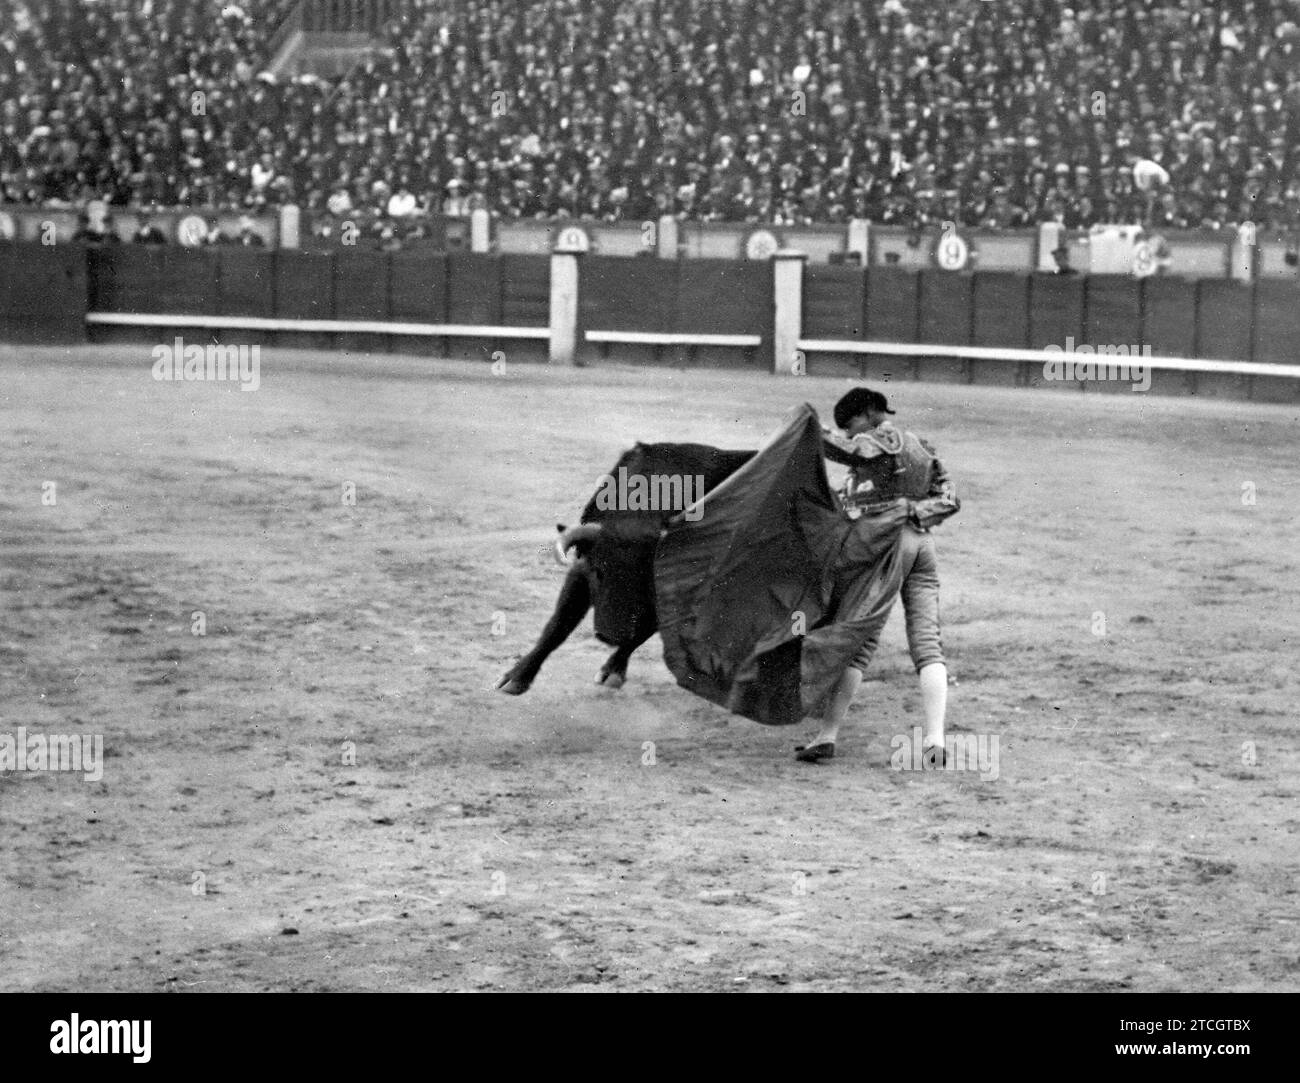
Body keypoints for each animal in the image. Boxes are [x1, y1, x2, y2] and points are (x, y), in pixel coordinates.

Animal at [499, 444, 759, 691]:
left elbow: (642, 632)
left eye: (647, 578)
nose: (610, 636)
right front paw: (516, 677)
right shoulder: (581, 570)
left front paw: (612, 671)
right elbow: (558, 623)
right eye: (599, 572)